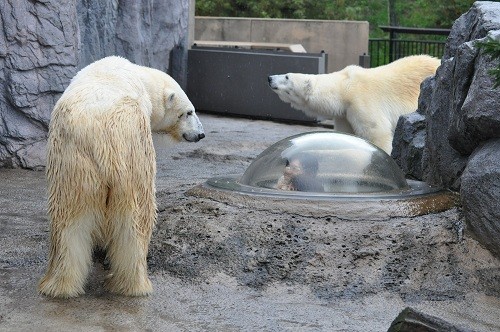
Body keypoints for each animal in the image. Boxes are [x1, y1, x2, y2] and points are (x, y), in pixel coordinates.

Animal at [38, 55, 204, 296]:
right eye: (188, 112)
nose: (201, 134)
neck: (142, 78)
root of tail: (101, 135)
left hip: (73, 162)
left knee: (69, 219)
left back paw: (59, 285)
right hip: (132, 154)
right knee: (135, 220)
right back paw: (132, 283)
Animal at [268, 54, 440, 153]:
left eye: (287, 76)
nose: (269, 78)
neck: (344, 86)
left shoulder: (361, 101)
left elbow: (377, 132)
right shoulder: (344, 114)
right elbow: (347, 134)